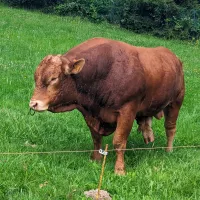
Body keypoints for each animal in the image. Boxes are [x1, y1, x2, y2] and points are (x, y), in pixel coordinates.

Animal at [29, 38, 184, 175]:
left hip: (176, 102)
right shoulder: (90, 113)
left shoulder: (127, 111)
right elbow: (96, 138)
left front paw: (120, 169)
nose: (33, 103)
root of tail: (174, 57)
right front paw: (96, 159)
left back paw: (169, 150)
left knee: (170, 128)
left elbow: (119, 142)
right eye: (35, 77)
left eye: (53, 78)